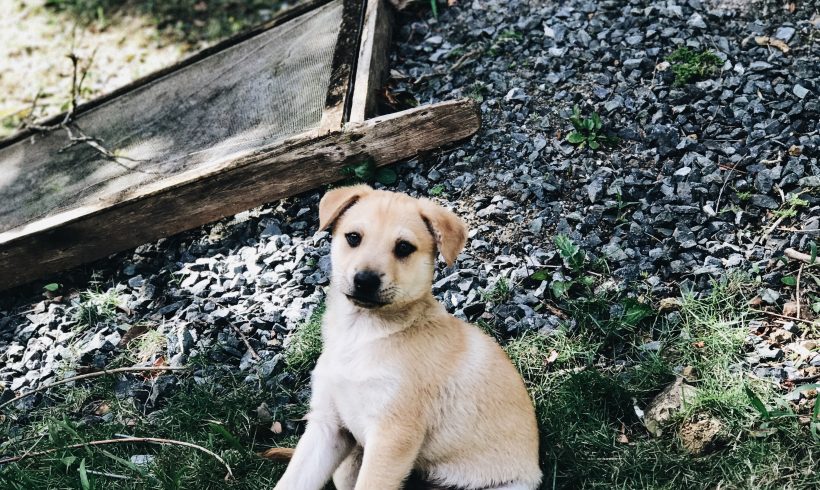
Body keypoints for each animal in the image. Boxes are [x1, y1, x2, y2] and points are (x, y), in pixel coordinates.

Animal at [276, 185, 540, 490]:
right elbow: (292, 481)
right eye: (353, 237)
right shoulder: (328, 425)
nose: (365, 281)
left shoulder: (393, 434)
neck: (362, 333)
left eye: (404, 247)